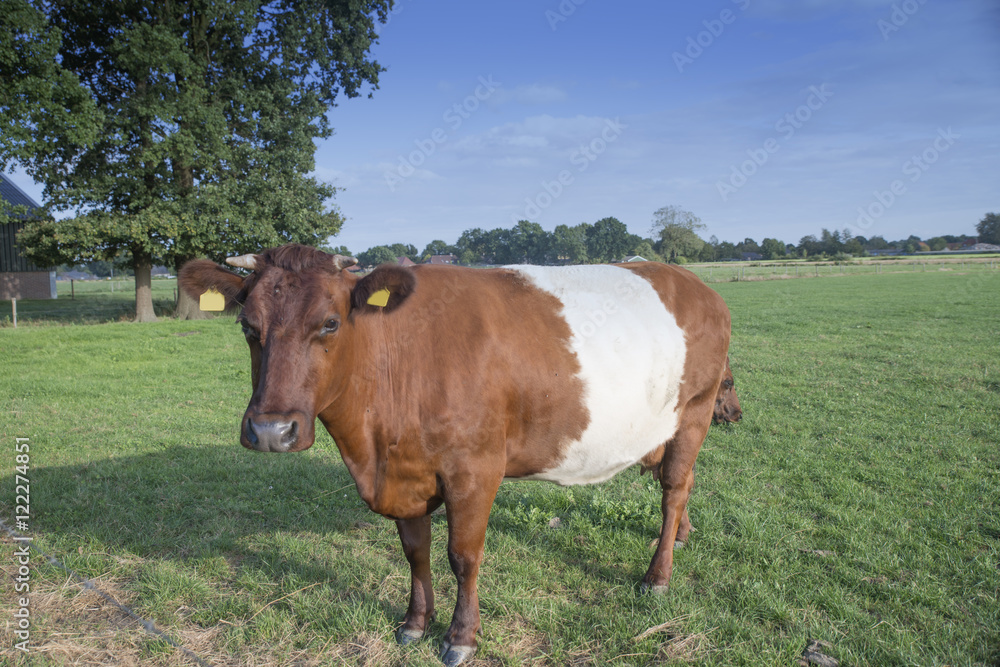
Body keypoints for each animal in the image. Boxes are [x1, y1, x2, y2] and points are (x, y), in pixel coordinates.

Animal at [176, 247, 732, 667]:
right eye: (247, 326)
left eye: (330, 324)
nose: (271, 431)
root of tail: (690, 280)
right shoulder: (405, 473)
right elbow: (415, 551)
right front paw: (414, 623)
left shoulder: (475, 469)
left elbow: (462, 556)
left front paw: (461, 637)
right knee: (682, 484)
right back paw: (682, 537)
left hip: (695, 412)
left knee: (674, 488)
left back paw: (657, 576)